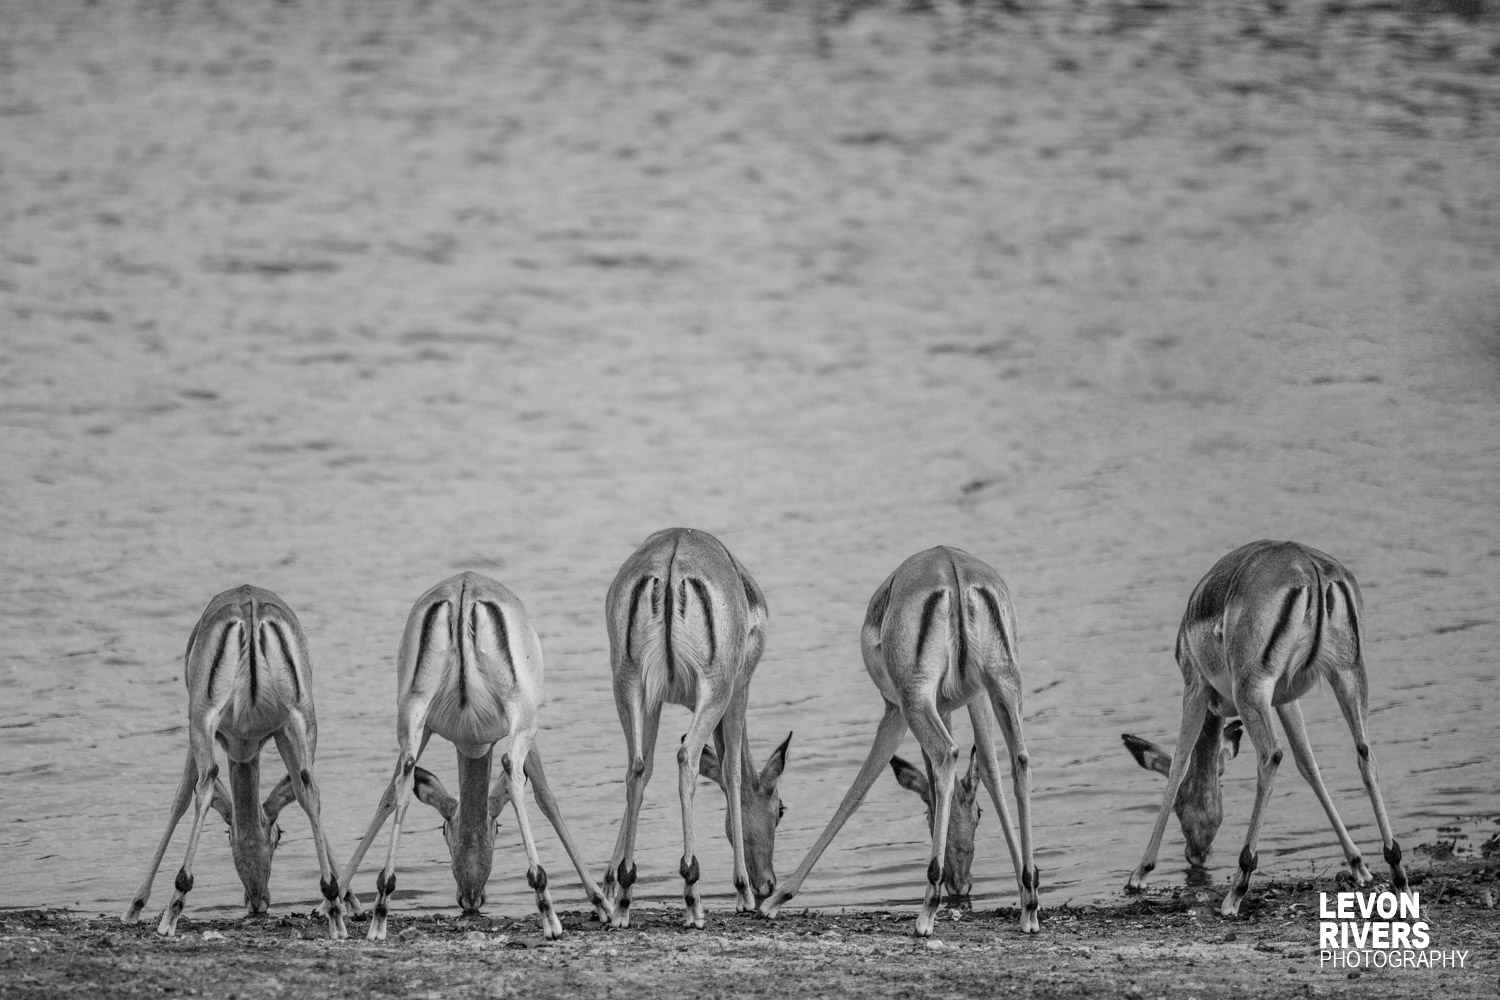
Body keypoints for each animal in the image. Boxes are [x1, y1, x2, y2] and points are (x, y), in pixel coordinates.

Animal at [122, 586, 348, 939]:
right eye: (278, 835)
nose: (258, 901)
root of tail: (249, 604)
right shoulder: (281, 731)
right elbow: (300, 791)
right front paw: (349, 901)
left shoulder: (202, 733)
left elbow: (180, 799)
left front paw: (134, 905)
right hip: (302, 716)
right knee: (310, 786)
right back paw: (336, 914)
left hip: (201, 720)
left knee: (205, 785)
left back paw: (172, 911)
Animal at [337, 573, 612, 941]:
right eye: (497, 828)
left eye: (443, 829)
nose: (470, 898)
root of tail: (464, 591)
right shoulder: (526, 729)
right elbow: (546, 798)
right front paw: (600, 901)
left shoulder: (428, 728)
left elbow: (387, 798)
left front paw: (334, 898)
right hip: (521, 716)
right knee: (512, 771)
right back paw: (547, 912)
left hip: (412, 712)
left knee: (404, 776)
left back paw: (380, 911)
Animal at [601, 527, 791, 929]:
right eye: (780, 809)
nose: (767, 884)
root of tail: (672, 562)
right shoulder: (738, 691)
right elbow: (731, 772)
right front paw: (742, 893)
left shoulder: (655, 700)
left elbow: (646, 770)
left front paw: (610, 889)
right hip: (715, 691)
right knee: (687, 758)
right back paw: (693, 899)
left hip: (627, 686)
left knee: (635, 769)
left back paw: (624, 899)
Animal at [760, 546, 1041, 936]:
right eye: (978, 814)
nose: (961, 884)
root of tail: (952, 567)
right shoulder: (973, 698)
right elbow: (989, 770)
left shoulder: (893, 710)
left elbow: (856, 792)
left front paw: (777, 898)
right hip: (1003, 685)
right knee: (1020, 760)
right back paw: (1029, 904)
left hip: (915, 701)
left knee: (947, 753)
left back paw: (927, 910)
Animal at [1125, 540, 1408, 915]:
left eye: (1182, 804)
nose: (1196, 854)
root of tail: (1309, 567)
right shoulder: (1284, 699)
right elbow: (1308, 765)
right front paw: (1358, 864)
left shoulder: (1195, 686)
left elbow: (1179, 764)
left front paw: (1140, 873)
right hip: (1347, 674)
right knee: (1365, 755)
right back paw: (1398, 873)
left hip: (1251, 690)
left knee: (1270, 756)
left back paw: (1236, 891)